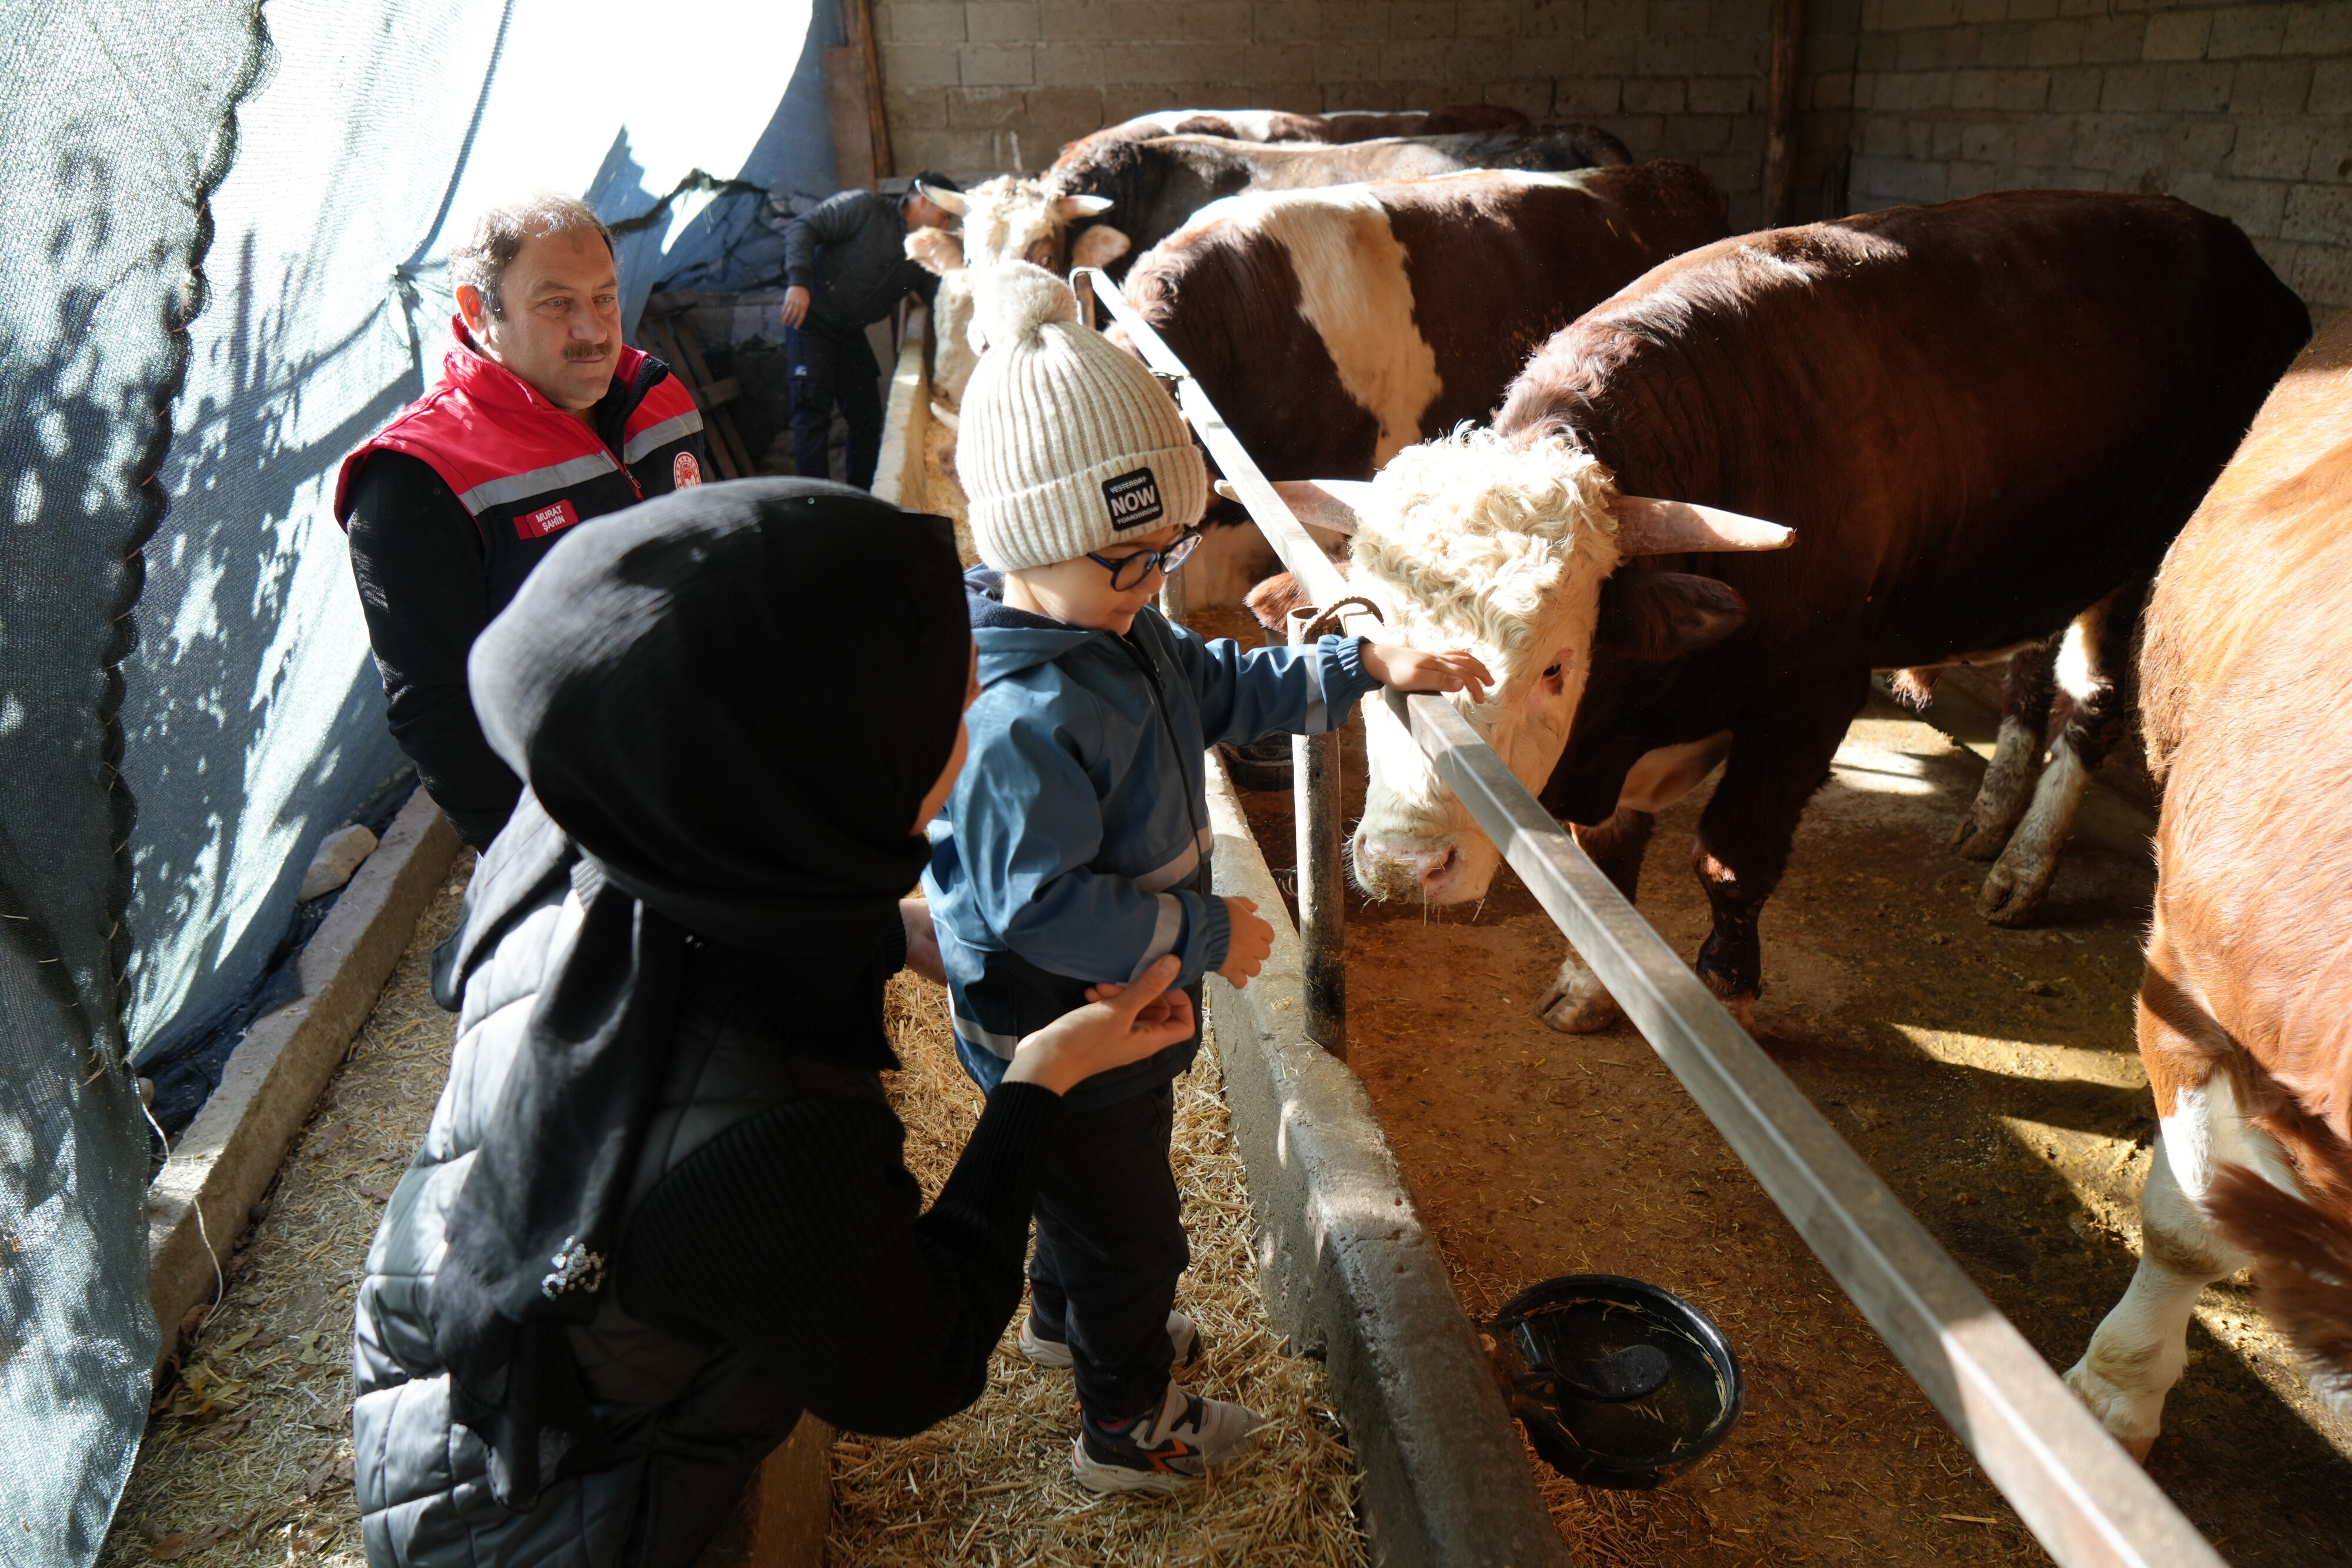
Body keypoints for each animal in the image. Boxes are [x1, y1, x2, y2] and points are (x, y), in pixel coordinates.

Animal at [1261, 186, 2305, 1029]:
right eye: (1367, 641)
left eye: (1555, 665)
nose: (1402, 866)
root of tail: (2227, 245)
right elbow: (1607, 852)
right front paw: (1593, 985)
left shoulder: (1811, 696)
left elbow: (1731, 854)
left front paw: (1729, 985)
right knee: (2026, 675)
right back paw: (1989, 817)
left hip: (2142, 558)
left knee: (2091, 702)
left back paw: (2024, 863)